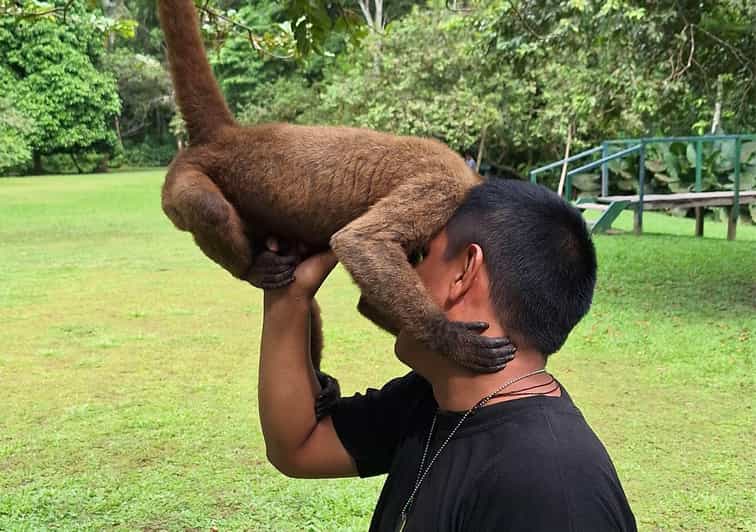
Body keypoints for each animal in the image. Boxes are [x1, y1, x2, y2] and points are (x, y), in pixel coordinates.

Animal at [156, 0, 516, 378]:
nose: (420, 256)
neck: (471, 180)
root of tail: (229, 136)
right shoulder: (442, 187)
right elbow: (360, 243)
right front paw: (451, 339)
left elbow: (367, 302)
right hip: (180, 179)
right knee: (208, 207)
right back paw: (251, 269)